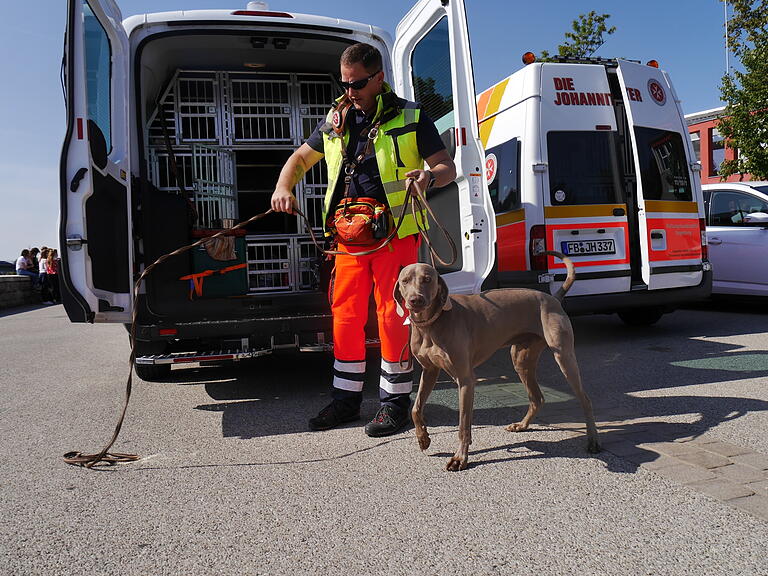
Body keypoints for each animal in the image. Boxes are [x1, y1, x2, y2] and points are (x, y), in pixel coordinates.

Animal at [396, 253, 600, 472]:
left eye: (427, 279)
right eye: (405, 281)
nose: (416, 300)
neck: (431, 324)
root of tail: (553, 297)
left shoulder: (465, 379)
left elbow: (463, 425)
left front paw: (460, 458)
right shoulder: (430, 371)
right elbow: (416, 408)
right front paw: (423, 438)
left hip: (564, 357)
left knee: (585, 399)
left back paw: (593, 441)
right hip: (521, 359)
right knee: (537, 398)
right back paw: (522, 425)